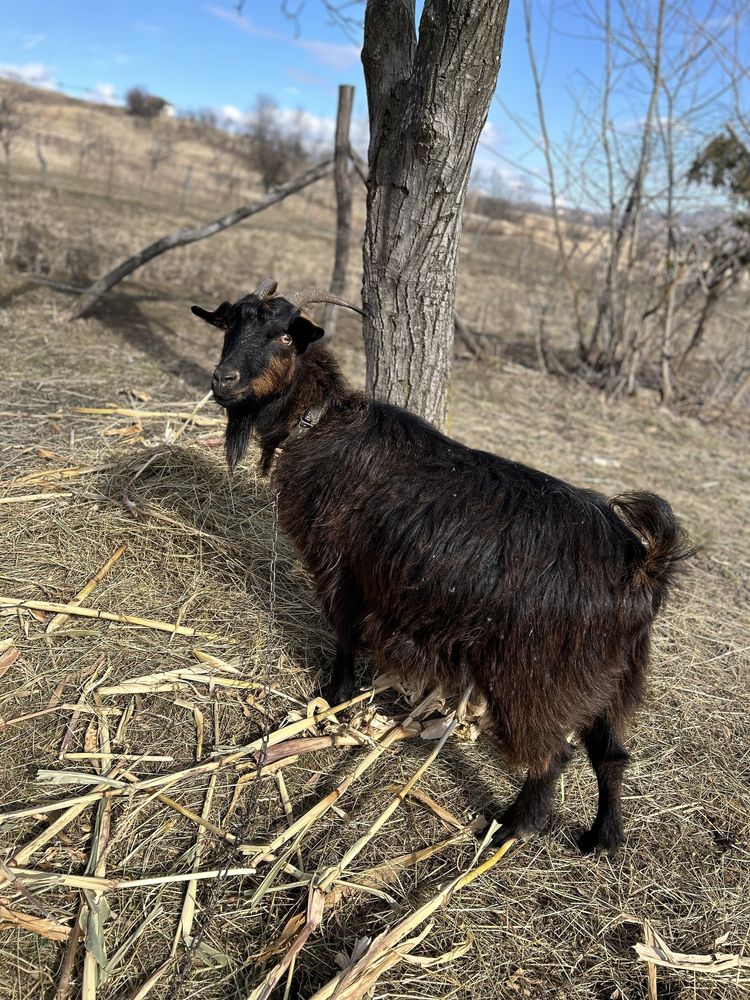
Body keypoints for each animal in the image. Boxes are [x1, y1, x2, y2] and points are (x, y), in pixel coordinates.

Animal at [192, 278, 692, 856]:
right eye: (230, 326)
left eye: (284, 337)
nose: (223, 380)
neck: (319, 423)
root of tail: (643, 565)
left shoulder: (340, 568)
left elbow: (344, 633)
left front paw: (334, 695)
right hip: (610, 679)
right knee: (610, 754)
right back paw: (603, 838)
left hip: (537, 678)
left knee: (554, 755)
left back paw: (513, 827)